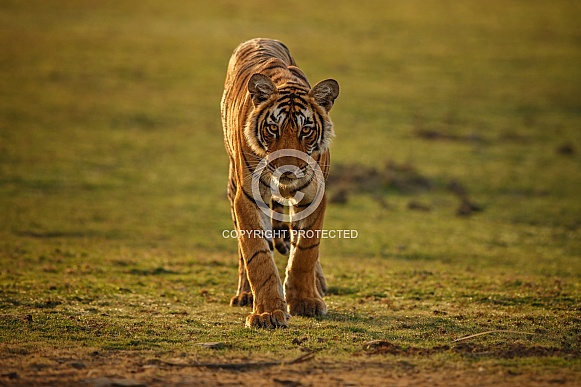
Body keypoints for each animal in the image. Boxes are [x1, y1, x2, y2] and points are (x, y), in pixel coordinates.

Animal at [222, 38, 340, 328]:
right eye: (273, 128)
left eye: (305, 130)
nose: (287, 167)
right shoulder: (247, 197)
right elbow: (257, 256)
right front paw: (267, 313)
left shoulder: (314, 194)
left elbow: (306, 251)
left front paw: (305, 301)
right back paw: (244, 295)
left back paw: (319, 285)